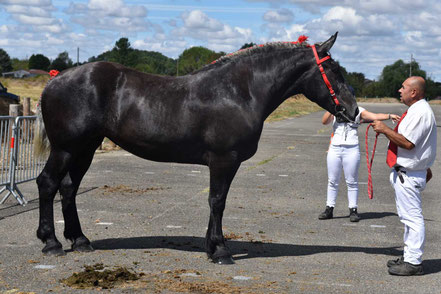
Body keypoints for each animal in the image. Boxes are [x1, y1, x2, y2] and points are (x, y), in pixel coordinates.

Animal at [34, 32, 358, 264]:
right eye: (333, 69)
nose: (353, 111)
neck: (239, 92)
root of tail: (54, 81)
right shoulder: (224, 160)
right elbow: (217, 201)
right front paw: (221, 252)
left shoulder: (227, 163)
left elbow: (218, 201)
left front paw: (211, 246)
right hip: (65, 149)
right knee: (48, 183)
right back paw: (51, 243)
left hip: (85, 149)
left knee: (69, 187)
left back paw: (80, 240)